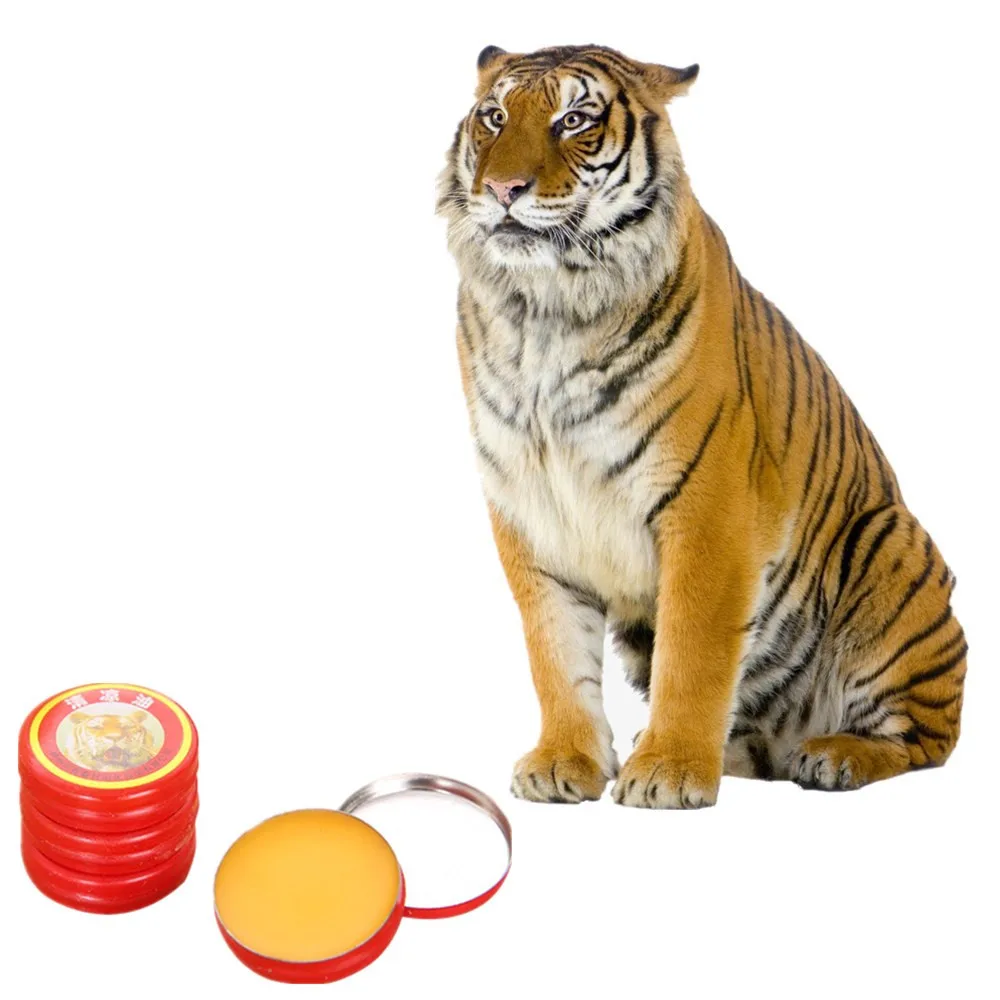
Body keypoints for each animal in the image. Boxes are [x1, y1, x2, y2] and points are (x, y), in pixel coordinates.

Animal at [437, 44, 967, 808]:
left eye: (574, 121)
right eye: (495, 118)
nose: (503, 188)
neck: (546, 308)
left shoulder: (708, 508)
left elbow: (693, 652)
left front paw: (667, 772)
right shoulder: (531, 511)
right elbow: (555, 652)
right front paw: (565, 762)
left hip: (889, 547)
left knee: (925, 738)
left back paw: (834, 756)